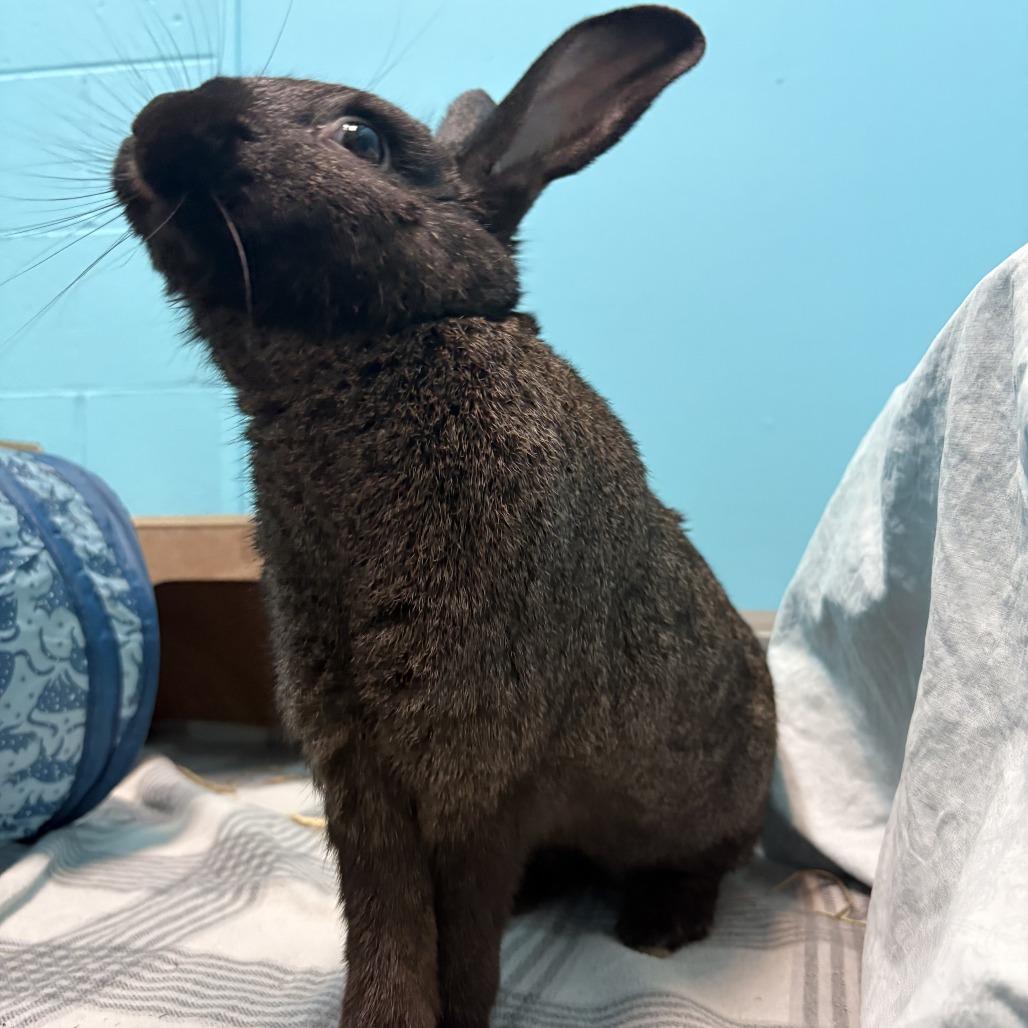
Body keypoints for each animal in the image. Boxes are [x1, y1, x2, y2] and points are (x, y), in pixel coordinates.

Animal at [112, 6, 776, 1026]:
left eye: (361, 138)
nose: (155, 124)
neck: (380, 352)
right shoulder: (359, 757)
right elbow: (385, 915)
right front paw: (377, 1016)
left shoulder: (483, 755)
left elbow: (459, 925)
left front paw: (454, 1014)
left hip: (713, 801)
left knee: (703, 862)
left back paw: (660, 926)